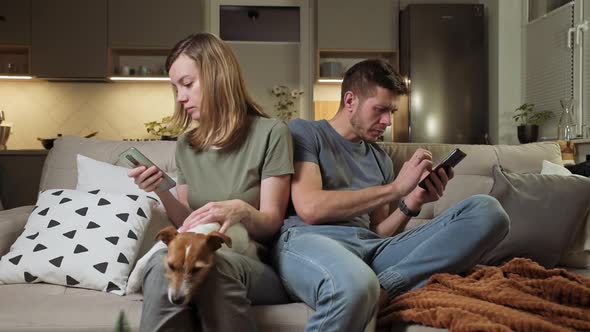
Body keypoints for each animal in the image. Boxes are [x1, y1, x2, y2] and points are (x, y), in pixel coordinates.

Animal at [127, 222, 256, 304]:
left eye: (197, 269)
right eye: (171, 266)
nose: (177, 300)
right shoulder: (159, 246)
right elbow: (141, 261)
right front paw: (131, 286)